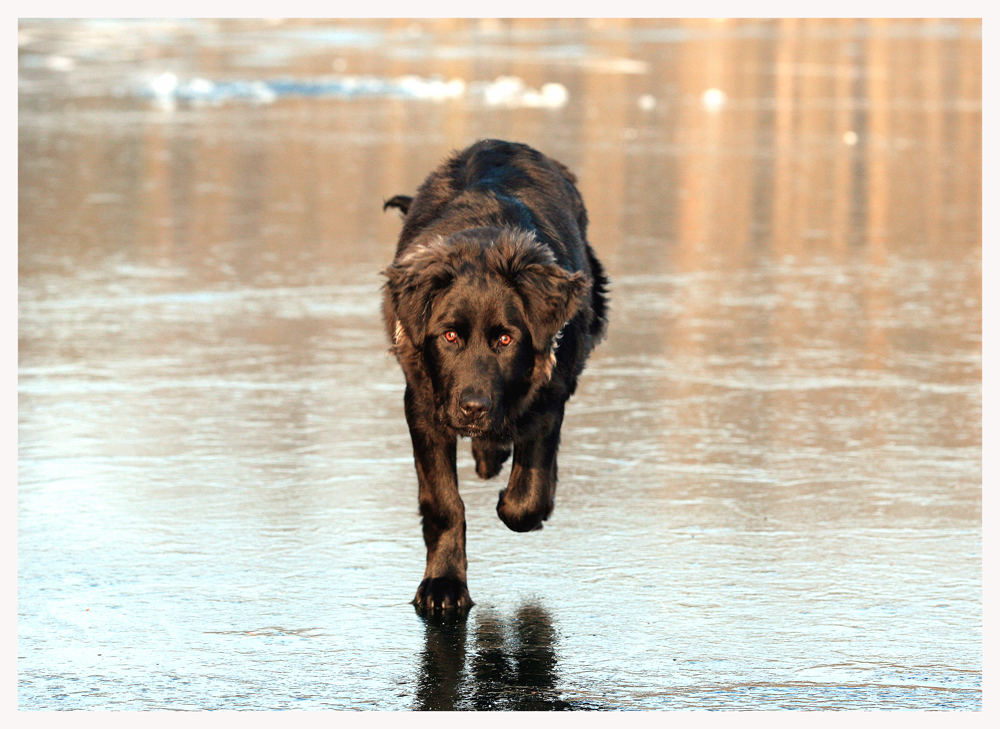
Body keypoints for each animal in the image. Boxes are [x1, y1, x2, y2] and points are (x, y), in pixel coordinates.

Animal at [380, 139, 604, 612]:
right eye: (449, 336)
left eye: (505, 339)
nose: (473, 408)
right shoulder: (422, 404)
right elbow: (443, 500)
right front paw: (444, 584)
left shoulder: (549, 391)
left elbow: (526, 497)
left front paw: (525, 505)